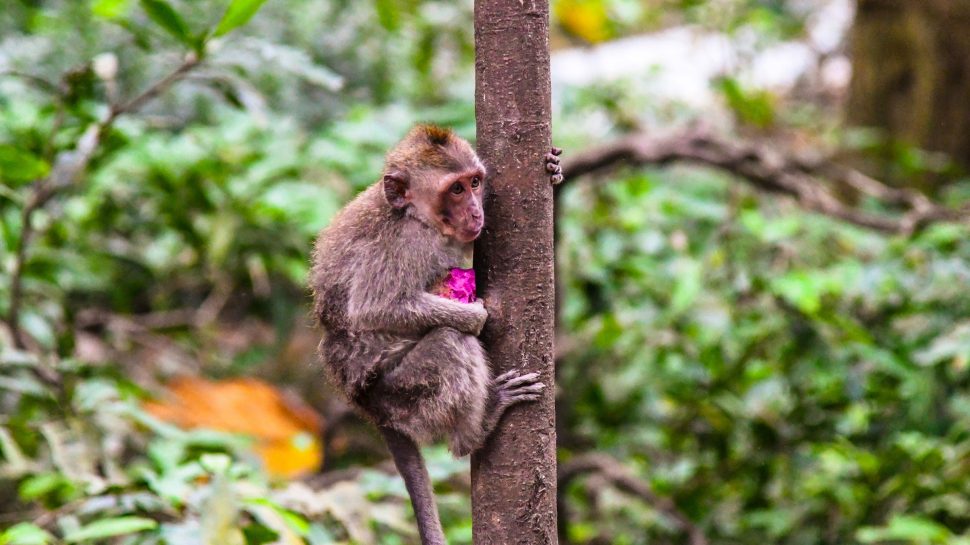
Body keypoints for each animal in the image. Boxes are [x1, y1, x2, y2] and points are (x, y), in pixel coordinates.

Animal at [309, 125, 563, 545]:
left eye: (474, 183)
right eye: (455, 190)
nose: (476, 211)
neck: (416, 216)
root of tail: (365, 404)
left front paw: (555, 169)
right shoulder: (408, 243)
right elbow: (376, 307)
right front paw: (476, 316)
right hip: (398, 392)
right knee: (449, 344)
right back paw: (477, 429)